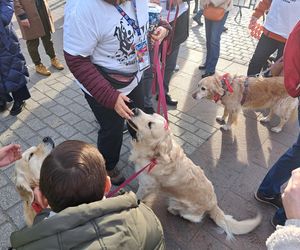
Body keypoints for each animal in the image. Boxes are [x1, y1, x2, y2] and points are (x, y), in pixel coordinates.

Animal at [127, 109, 262, 238]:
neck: (154, 156)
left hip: (182, 207)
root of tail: (214, 204)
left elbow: (137, 196)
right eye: (151, 113)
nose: (135, 110)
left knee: (192, 218)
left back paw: (173, 210)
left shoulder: (146, 186)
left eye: (150, 124)